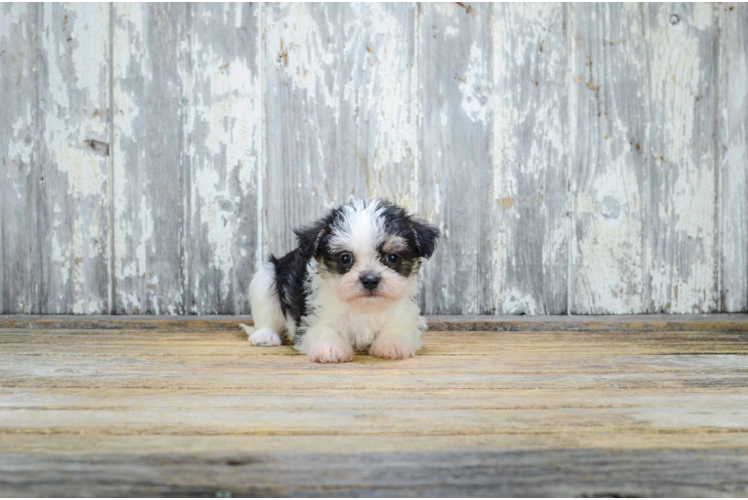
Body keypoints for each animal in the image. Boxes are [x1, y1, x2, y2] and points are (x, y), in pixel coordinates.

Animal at [240, 199, 438, 364]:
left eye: (392, 257)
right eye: (345, 258)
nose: (370, 280)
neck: (364, 307)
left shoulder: (405, 314)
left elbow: (399, 327)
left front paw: (393, 344)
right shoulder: (313, 317)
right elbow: (323, 329)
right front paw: (330, 347)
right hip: (265, 277)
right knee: (266, 316)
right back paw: (265, 336)